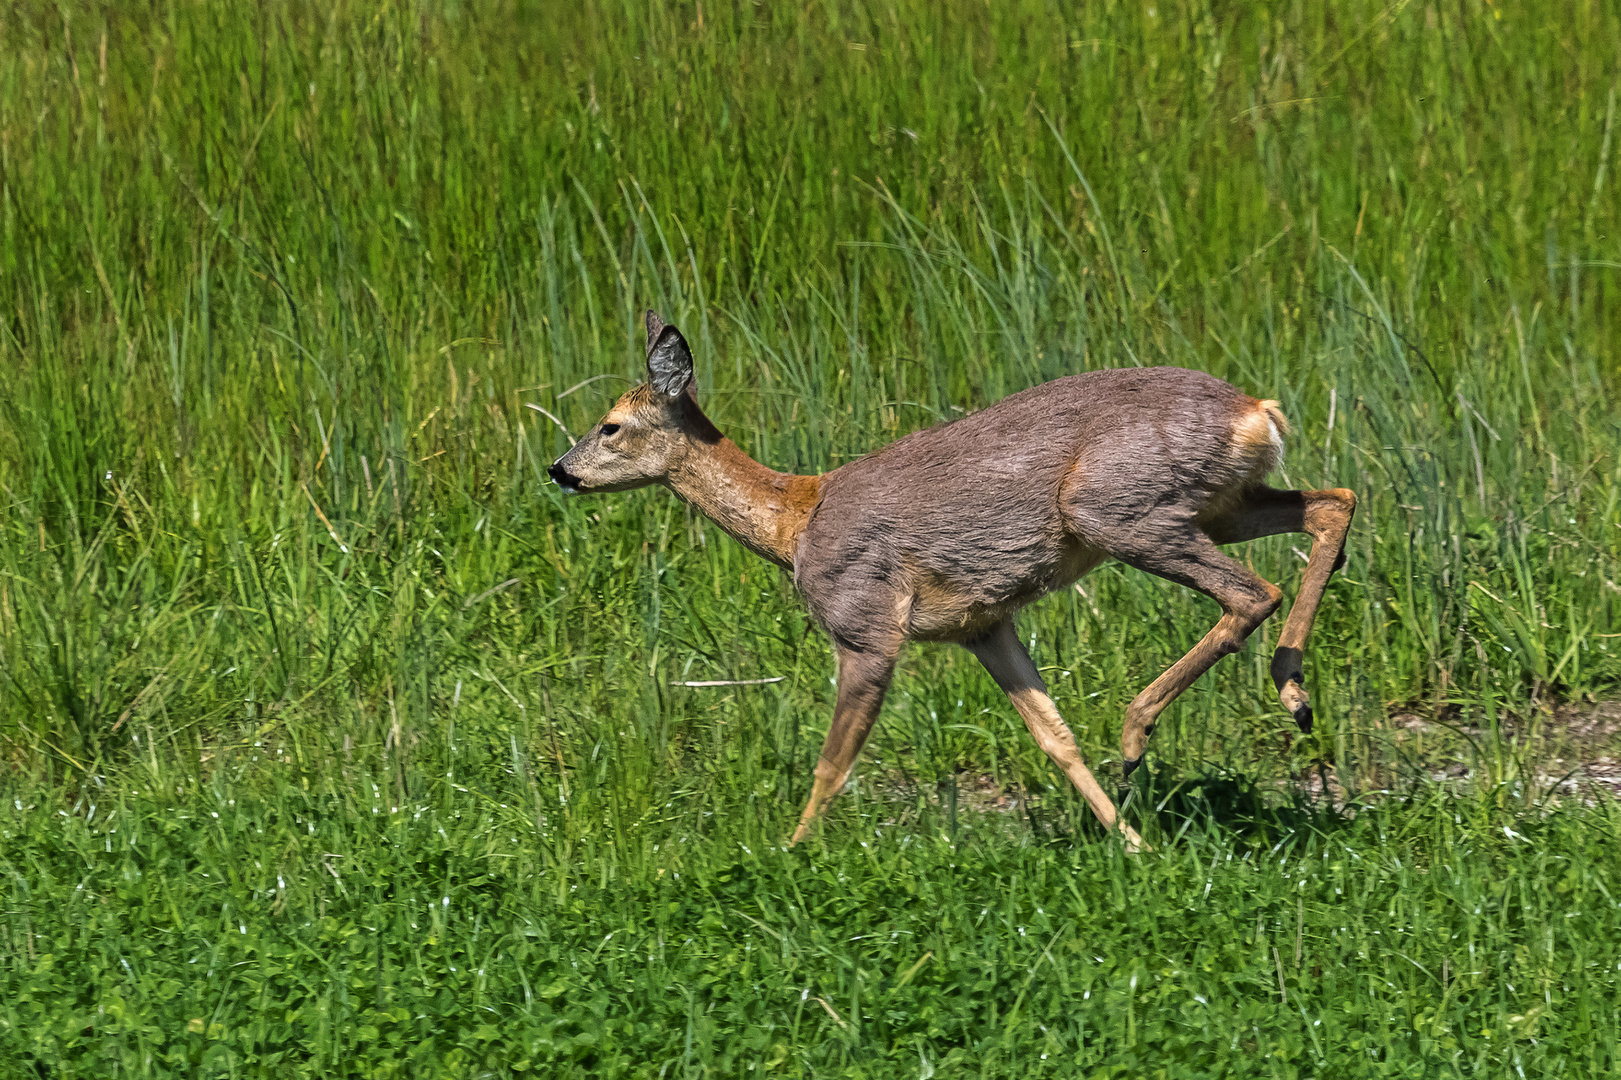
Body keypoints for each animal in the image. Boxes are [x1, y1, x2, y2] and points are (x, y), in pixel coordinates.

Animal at [551, 311, 1361, 849]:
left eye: (611, 424)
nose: (559, 470)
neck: (794, 522)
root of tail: (1257, 411)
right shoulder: (984, 625)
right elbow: (1054, 735)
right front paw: (1130, 844)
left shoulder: (865, 624)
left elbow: (832, 763)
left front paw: (790, 854)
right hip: (1218, 505)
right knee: (1332, 503)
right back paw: (1293, 694)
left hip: (1121, 510)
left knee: (1253, 590)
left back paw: (1141, 729)